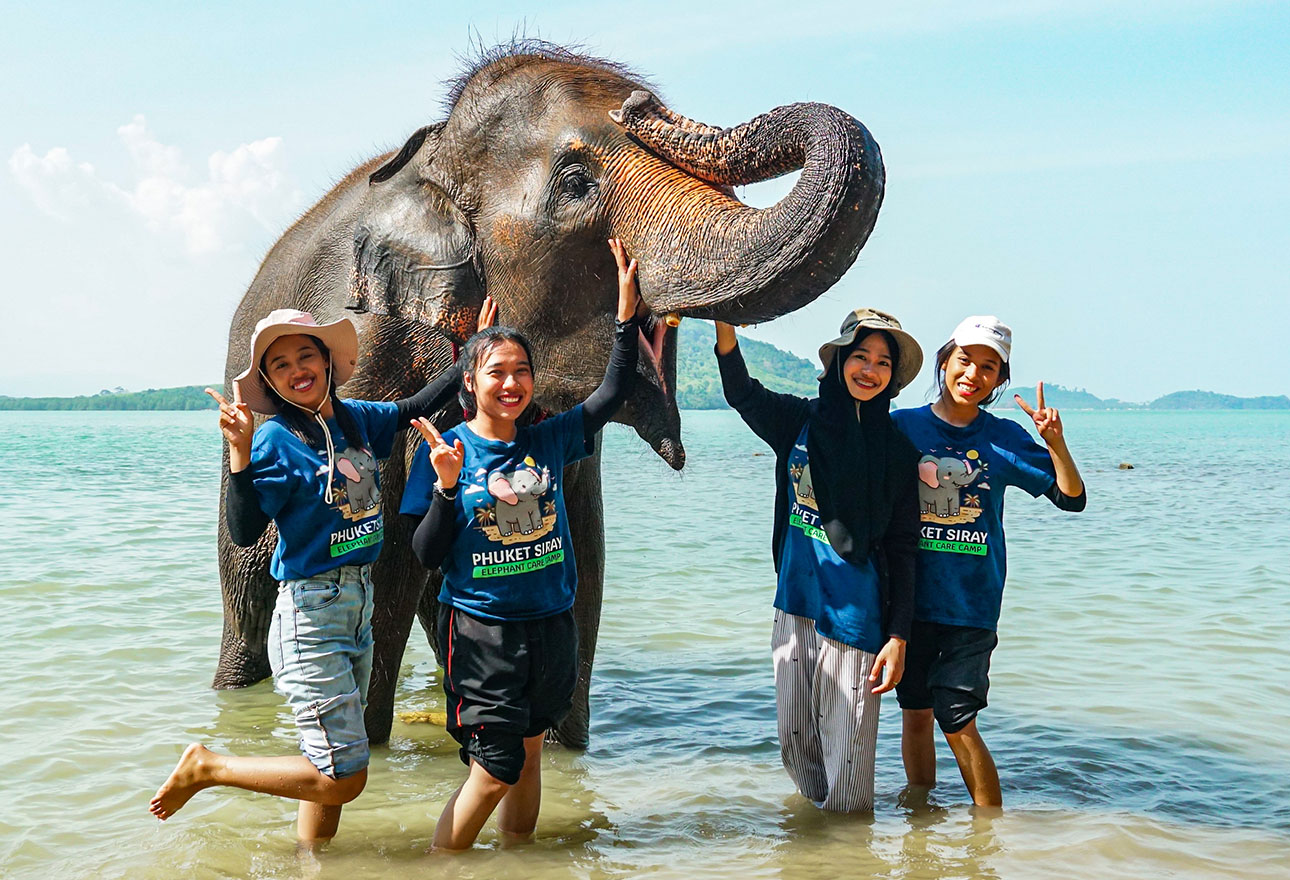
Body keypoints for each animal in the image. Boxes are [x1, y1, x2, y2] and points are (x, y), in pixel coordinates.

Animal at [214, 40, 886, 749]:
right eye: (575, 182)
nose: (638, 103)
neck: (434, 156)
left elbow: (582, 545)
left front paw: (564, 746)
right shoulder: (364, 345)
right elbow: (381, 542)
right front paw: (371, 741)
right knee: (250, 577)